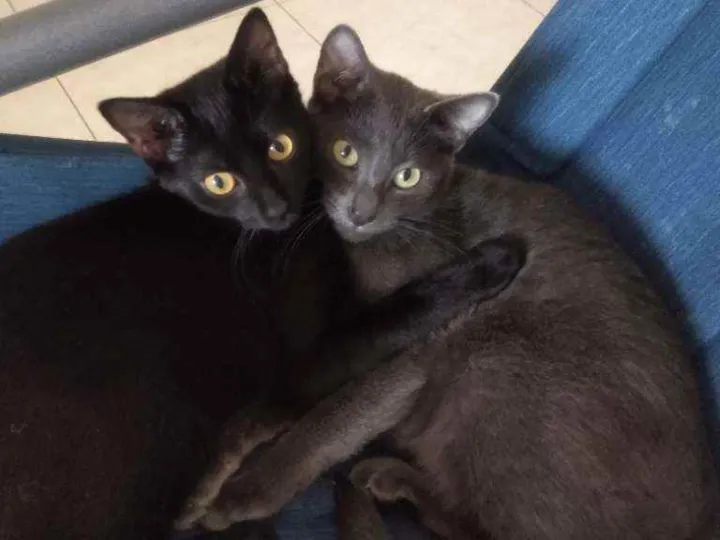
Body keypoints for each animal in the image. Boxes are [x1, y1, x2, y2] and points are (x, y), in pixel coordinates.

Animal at [187, 25, 720, 540]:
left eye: (407, 176)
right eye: (345, 153)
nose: (362, 212)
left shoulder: (411, 348)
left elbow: (332, 420)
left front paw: (241, 496)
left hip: (499, 361)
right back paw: (388, 477)